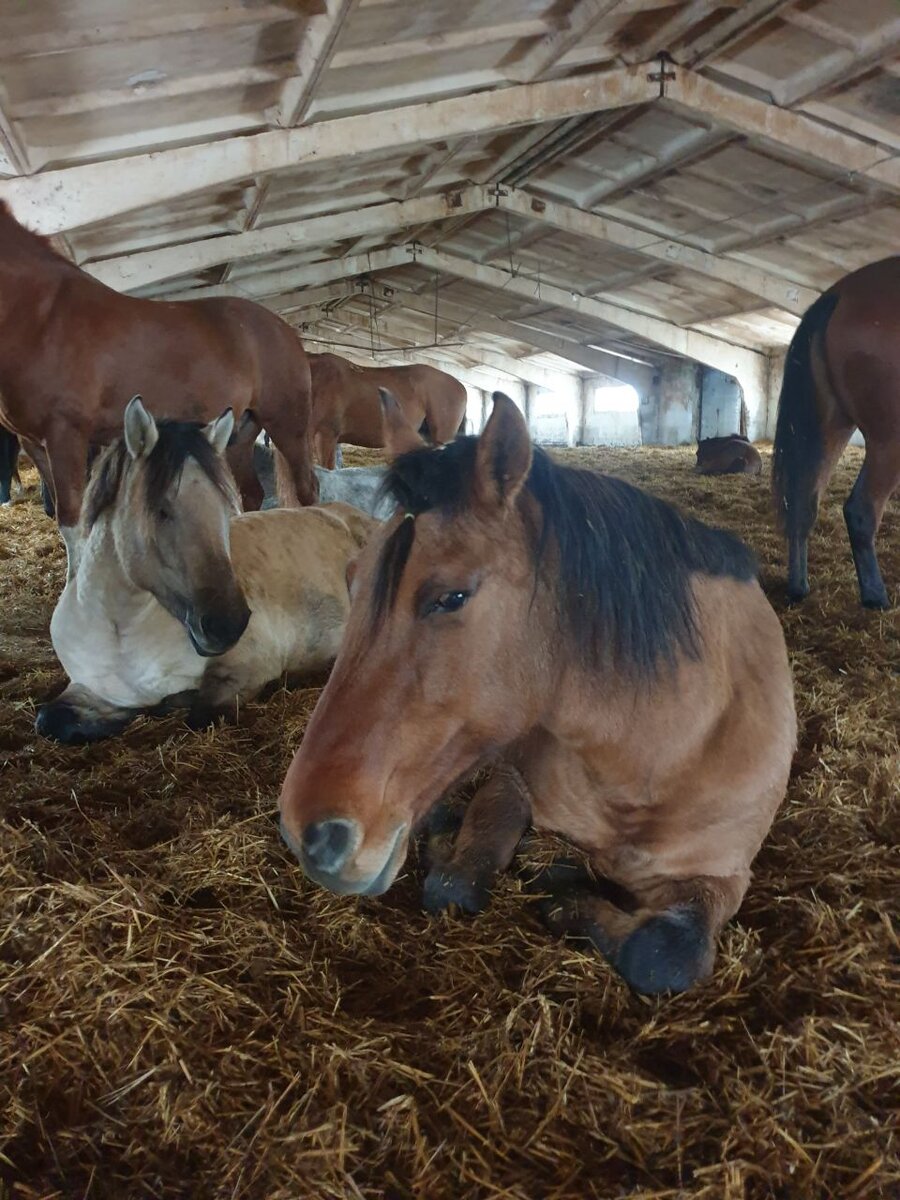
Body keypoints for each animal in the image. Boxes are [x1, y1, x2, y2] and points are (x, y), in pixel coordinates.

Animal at [0, 201, 321, 576]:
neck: (42, 316)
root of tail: (285, 330)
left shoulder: (67, 435)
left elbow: (72, 520)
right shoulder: (35, 443)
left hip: (287, 425)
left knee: (307, 488)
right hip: (241, 434)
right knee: (251, 493)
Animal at [37, 398, 374, 744]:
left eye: (226, 509)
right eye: (161, 510)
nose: (227, 625)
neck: (121, 632)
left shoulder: (245, 671)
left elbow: (198, 712)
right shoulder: (88, 689)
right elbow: (50, 719)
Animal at [280, 391, 796, 993]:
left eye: (452, 596)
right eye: (351, 577)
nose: (306, 833)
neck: (651, 760)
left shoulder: (722, 875)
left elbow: (663, 953)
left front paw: (565, 892)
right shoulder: (510, 781)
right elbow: (456, 882)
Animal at [777, 254, 900, 609]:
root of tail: (839, 294)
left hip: (831, 424)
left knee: (803, 503)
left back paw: (798, 587)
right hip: (889, 440)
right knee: (861, 510)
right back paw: (876, 598)